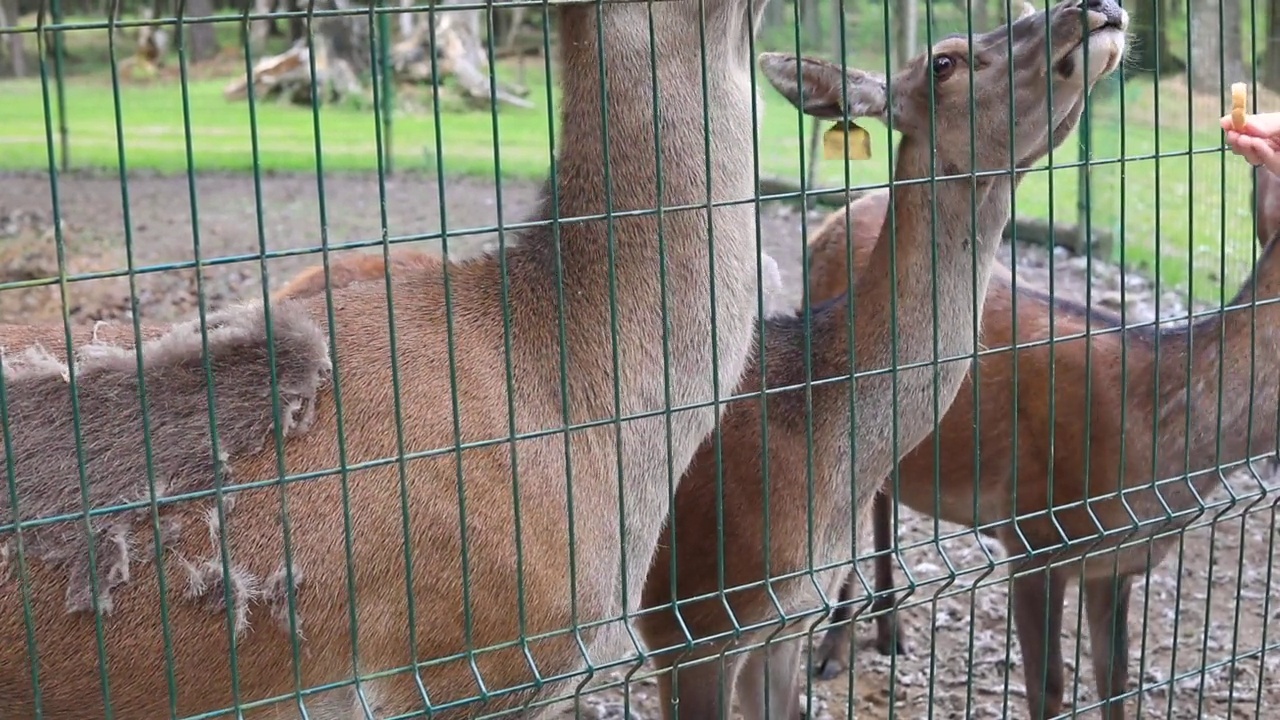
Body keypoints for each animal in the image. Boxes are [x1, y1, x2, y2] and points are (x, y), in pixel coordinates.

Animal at [808, 95, 1280, 720]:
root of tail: (830, 221)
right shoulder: (1032, 531)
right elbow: (1049, 688)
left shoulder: (1116, 564)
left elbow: (1116, 681)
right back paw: (832, 651)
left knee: (883, 501)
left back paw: (891, 632)